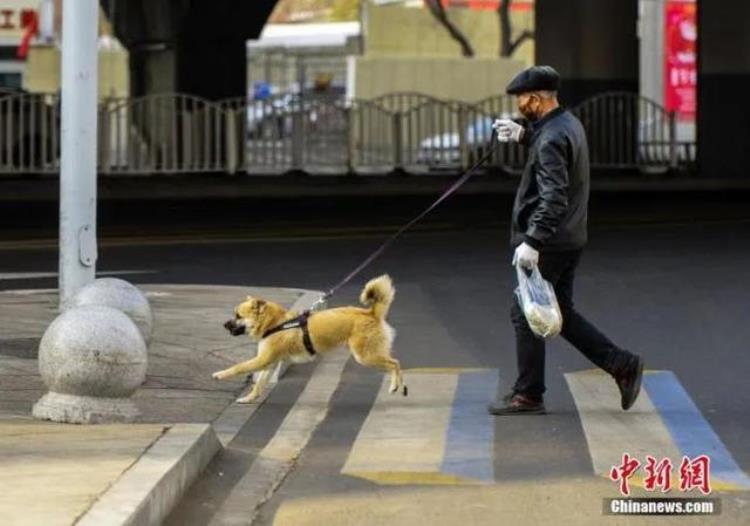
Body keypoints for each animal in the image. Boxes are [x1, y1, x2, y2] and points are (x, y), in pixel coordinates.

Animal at [214, 276, 408, 404]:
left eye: (238, 316)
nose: (223, 325)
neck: (275, 323)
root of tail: (371, 313)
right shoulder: (268, 363)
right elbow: (259, 385)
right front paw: (249, 398)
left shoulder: (262, 360)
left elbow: (239, 367)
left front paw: (220, 374)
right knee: (394, 363)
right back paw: (399, 386)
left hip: (365, 356)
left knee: (395, 363)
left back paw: (395, 386)